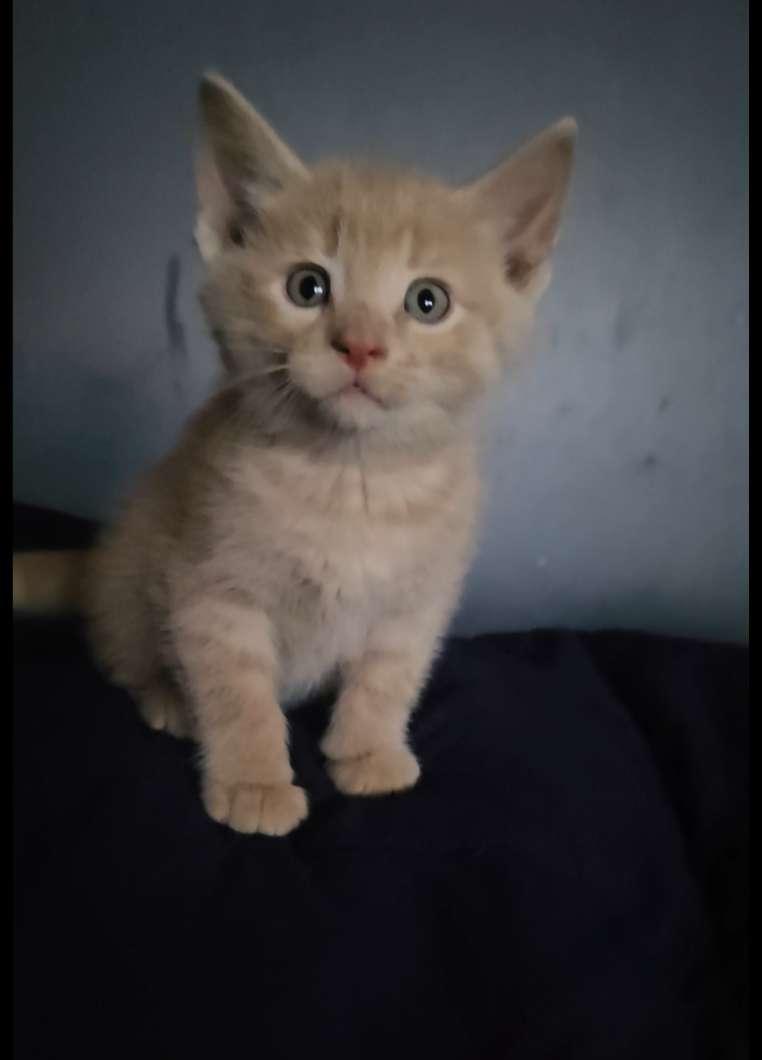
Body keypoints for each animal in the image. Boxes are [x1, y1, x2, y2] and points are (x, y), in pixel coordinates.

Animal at [11, 74, 576, 835]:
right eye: (308, 287)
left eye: (427, 301)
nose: (360, 345)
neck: (349, 480)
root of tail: (96, 561)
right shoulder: (211, 589)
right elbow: (238, 693)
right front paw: (253, 781)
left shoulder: (417, 600)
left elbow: (388, 675)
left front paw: (368, 751)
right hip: (134, 575)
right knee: (120, 653)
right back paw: (168, 698)